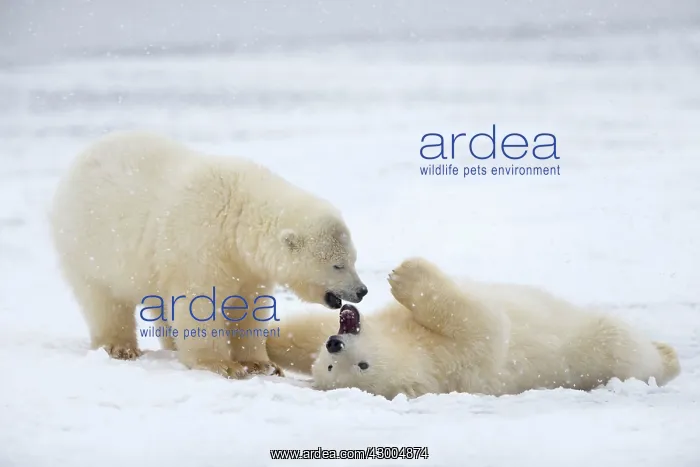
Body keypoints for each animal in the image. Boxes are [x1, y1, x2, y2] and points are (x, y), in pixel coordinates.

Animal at [49, 130, 368, 379]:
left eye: (354, 259)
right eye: (338, 265)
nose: (361, 290)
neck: (236, 216)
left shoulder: (248, 267)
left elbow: (249, 307)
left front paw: (262, 364)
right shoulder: (200, 244)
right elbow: (200, 302)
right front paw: (221, 365)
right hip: (87, 243)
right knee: (103, 300)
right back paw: (119, 347)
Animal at [266, 257, 680, 399]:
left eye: (362, 365)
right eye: (334, 368)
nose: (335, 344)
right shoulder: (464, 359)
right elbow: (482, 324)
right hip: (602, 347)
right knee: (622, 345)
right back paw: (668, 356)